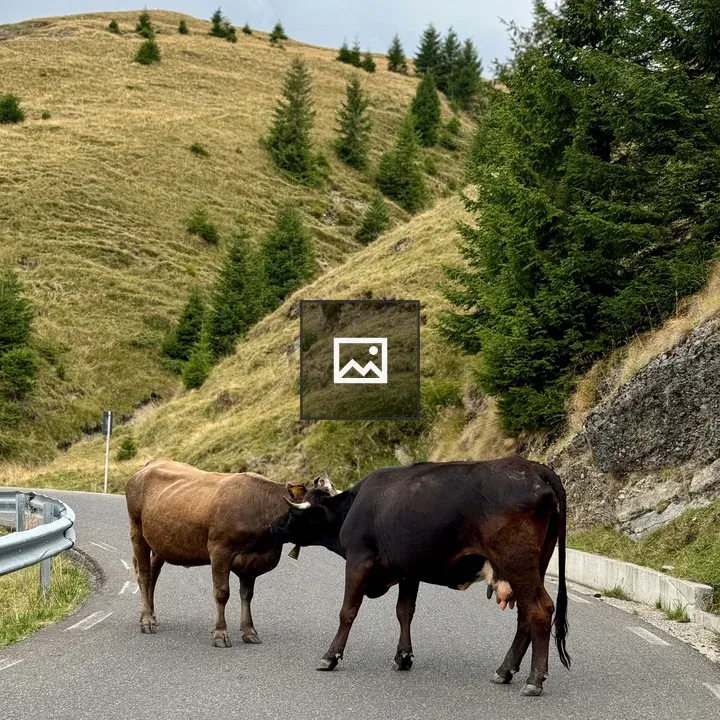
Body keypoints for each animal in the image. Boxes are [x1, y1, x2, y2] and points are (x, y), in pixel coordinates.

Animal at [125, 458, 334, 646]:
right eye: (317, 512)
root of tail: (151, 464)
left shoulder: (253, 561)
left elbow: (247, 595)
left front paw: (249, 631)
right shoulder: (219, 551)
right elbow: (222, 593)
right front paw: (220, 633)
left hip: (160, 543)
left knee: (153, 574)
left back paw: (152, 616)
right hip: (137, 532)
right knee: (144, 575)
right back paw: (147, 621)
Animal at [270, 458, 570, 696]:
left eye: (292, 512)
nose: (273, 526)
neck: (354, 508)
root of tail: (534, 469)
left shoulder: (358, 560)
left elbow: (348, 610)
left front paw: (330, 656)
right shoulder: (408, 570)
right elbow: (404, 611)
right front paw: (403, 656)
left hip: (516, 562)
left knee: (539, 610)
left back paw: (534, 680)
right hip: (533, 565)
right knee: (525, 616)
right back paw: (505, 670)